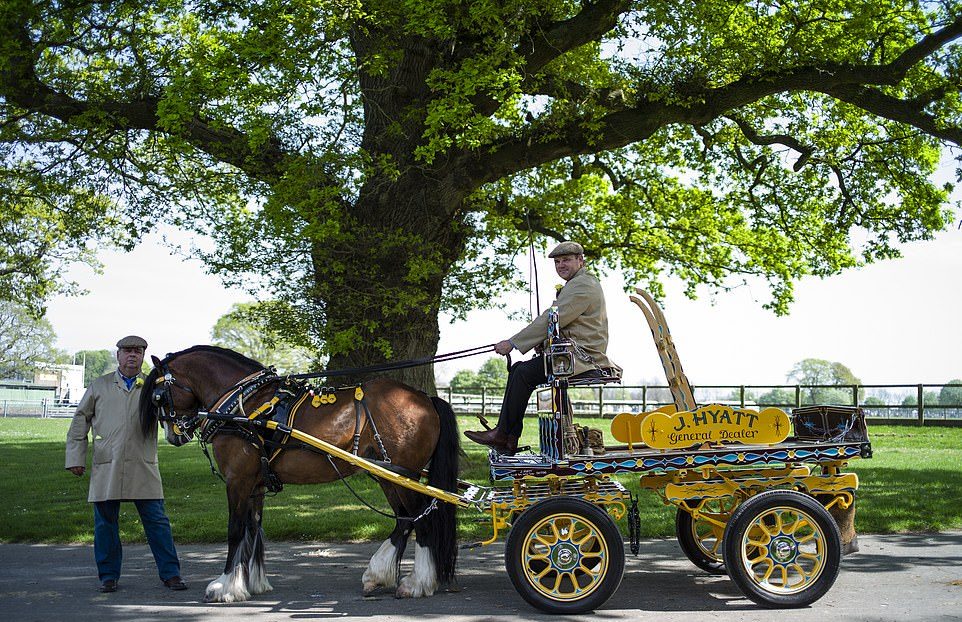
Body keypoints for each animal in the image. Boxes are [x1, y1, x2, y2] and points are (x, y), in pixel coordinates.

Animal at [136, 346, 462, 604]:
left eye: (158, 396)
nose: (173, 435)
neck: (244, 407)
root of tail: (424, 397)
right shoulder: (255, 484)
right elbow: (253, 529)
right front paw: (252, 583)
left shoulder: (237, 480)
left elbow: (235, 530)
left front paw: (225, 586)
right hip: (389, 475)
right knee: (406, 520)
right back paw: (378, 575)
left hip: (401, 475)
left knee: (421, 519)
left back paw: (416, 583)